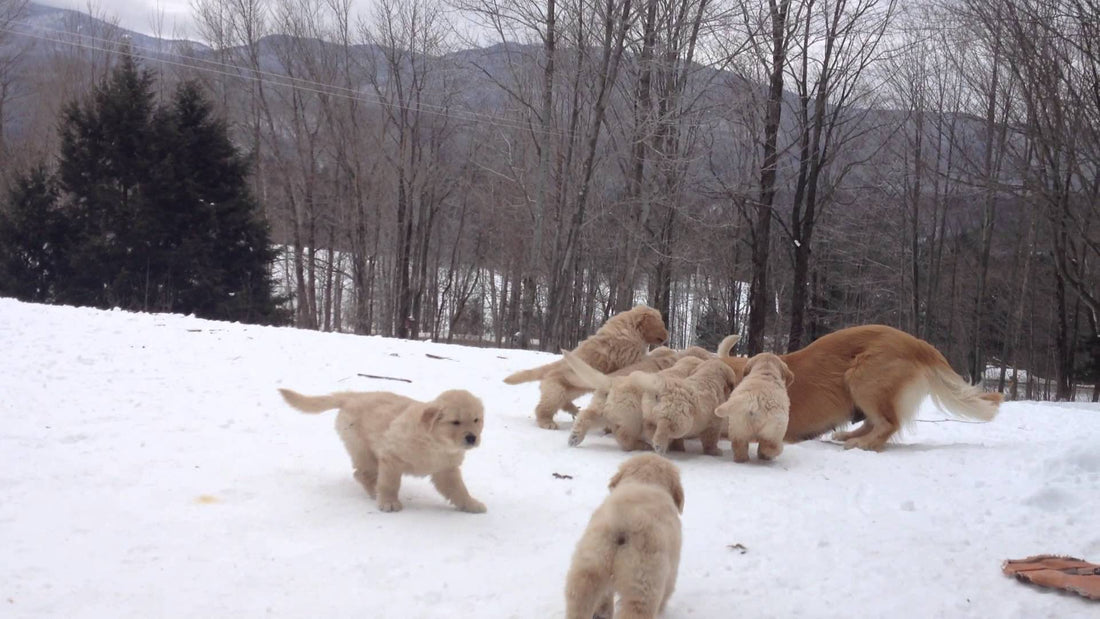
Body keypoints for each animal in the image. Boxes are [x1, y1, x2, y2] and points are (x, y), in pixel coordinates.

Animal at [277, 387, 484, 514]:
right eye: (455, 422)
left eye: (476, 420)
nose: (472, 438)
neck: (436, 443)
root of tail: (352, 396)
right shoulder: (391, 457)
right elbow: (390, 484)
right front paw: (389, 502)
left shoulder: (446, 469)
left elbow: (459, 489)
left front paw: (471, 504)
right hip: (362, 448)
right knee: (362, 474)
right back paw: (375, 492)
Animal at [503, 305, 664, 430]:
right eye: (661, 323)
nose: (666, 335)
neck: (630, 327)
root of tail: (552, 368)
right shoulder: (630, 355)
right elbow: (645, 358)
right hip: (556, 392)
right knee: (543, 407)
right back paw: (547, 422)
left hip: (570, 390)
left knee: (563, 403)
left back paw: (574, 410)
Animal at [717, 327, 1003, 452]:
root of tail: (917, 342)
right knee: (875, 422)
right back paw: (846, 436)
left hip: (861, 378)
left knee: (888, 423)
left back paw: (860, 443)